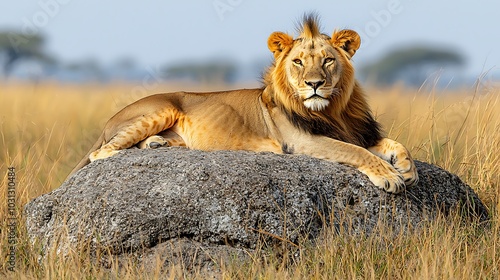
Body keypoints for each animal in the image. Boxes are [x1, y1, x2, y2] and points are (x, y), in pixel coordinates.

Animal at [70, 14, 418, 192]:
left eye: (328, 60)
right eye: (298, 62)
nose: (315, 84)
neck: (332, 111)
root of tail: (110, 119)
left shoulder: (355, 131)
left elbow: (394, 144)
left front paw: (408, 168)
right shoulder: (300, 141)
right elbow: (355, 152)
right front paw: (389, 176)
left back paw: (160, 145)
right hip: (160, 108)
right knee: (103, 152)